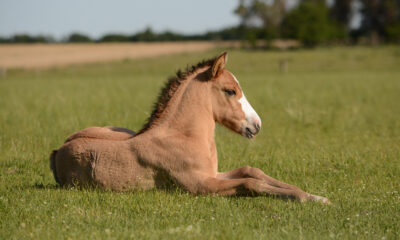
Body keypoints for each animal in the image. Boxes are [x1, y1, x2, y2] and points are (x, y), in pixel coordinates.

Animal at [50, 51, 330, 203]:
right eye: (230, 91)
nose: (256, 125)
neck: (183, 137)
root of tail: (58, 150)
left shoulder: (213, 174)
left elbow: (253, 171)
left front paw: (315, 196)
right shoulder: (200, 185)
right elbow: (251, 183)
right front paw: (305, 198)